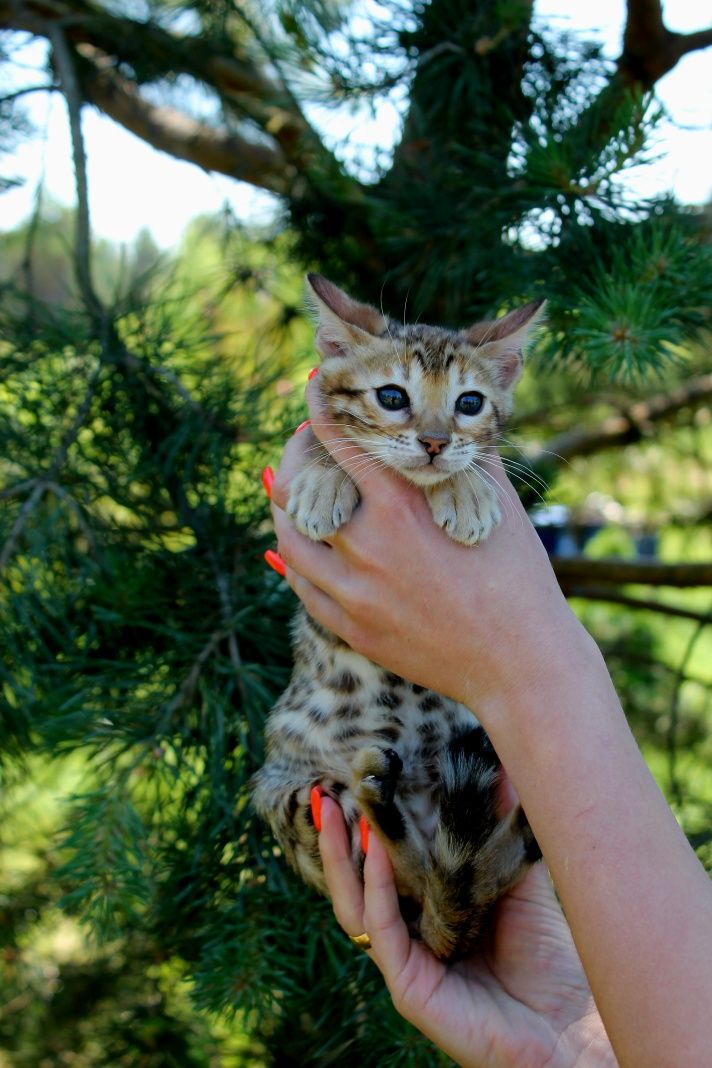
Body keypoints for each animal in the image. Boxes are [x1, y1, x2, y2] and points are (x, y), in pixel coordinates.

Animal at [255, 273, 546, 961]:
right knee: (407, 871)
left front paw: (467, 490)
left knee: (453, 879)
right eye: (392, 396)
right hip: (308, 797)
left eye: (469, 402)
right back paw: (387, 807)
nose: (436, 442)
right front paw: (323, 480)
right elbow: (330, 441)